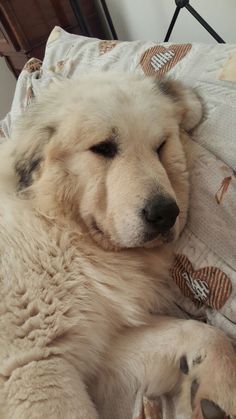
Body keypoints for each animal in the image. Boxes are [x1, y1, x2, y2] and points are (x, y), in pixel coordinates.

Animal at [0, 73, 234, 419]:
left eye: (161, 147)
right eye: (103, 148)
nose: (165, 214)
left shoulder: (99, 341)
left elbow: (202, 332)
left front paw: (216, 389)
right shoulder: (34, 366)